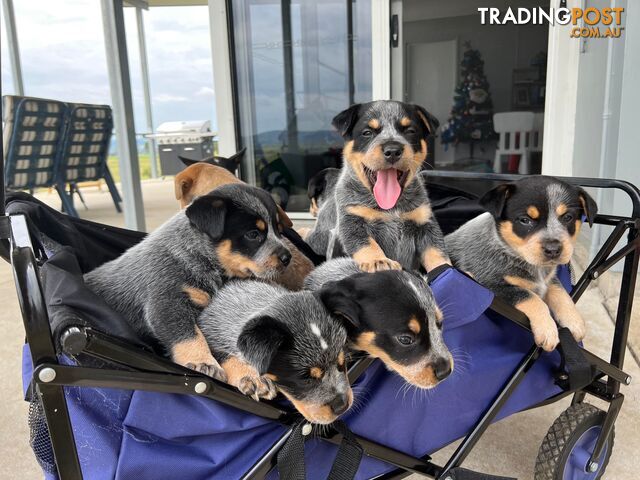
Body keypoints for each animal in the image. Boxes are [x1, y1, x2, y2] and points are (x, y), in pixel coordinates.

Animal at [330, 100, 450, 274]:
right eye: (367, 132)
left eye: (410, 131)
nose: (392, 150)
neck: (391, 208)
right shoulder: (352, 220)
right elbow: (366, 244)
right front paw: (378, 260)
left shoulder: (425, 223)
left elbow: (437, 253)